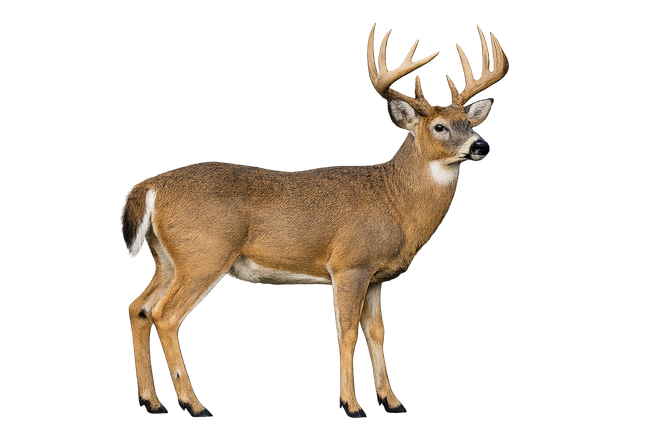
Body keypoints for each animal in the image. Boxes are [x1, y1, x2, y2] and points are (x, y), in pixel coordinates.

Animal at [121, 22, 509, 418]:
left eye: (470, 123)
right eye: (440, 127)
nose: (481, 146)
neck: (395, 202)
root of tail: (150, 186)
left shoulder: (376, 275)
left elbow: (377, 331)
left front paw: (392, 401)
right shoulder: (350, 264)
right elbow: (347, 331)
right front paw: (351, 405)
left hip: (167, 259)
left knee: (138, 308)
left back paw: (152, 401)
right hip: (205, 254)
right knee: (166, 315)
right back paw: (195, 404)